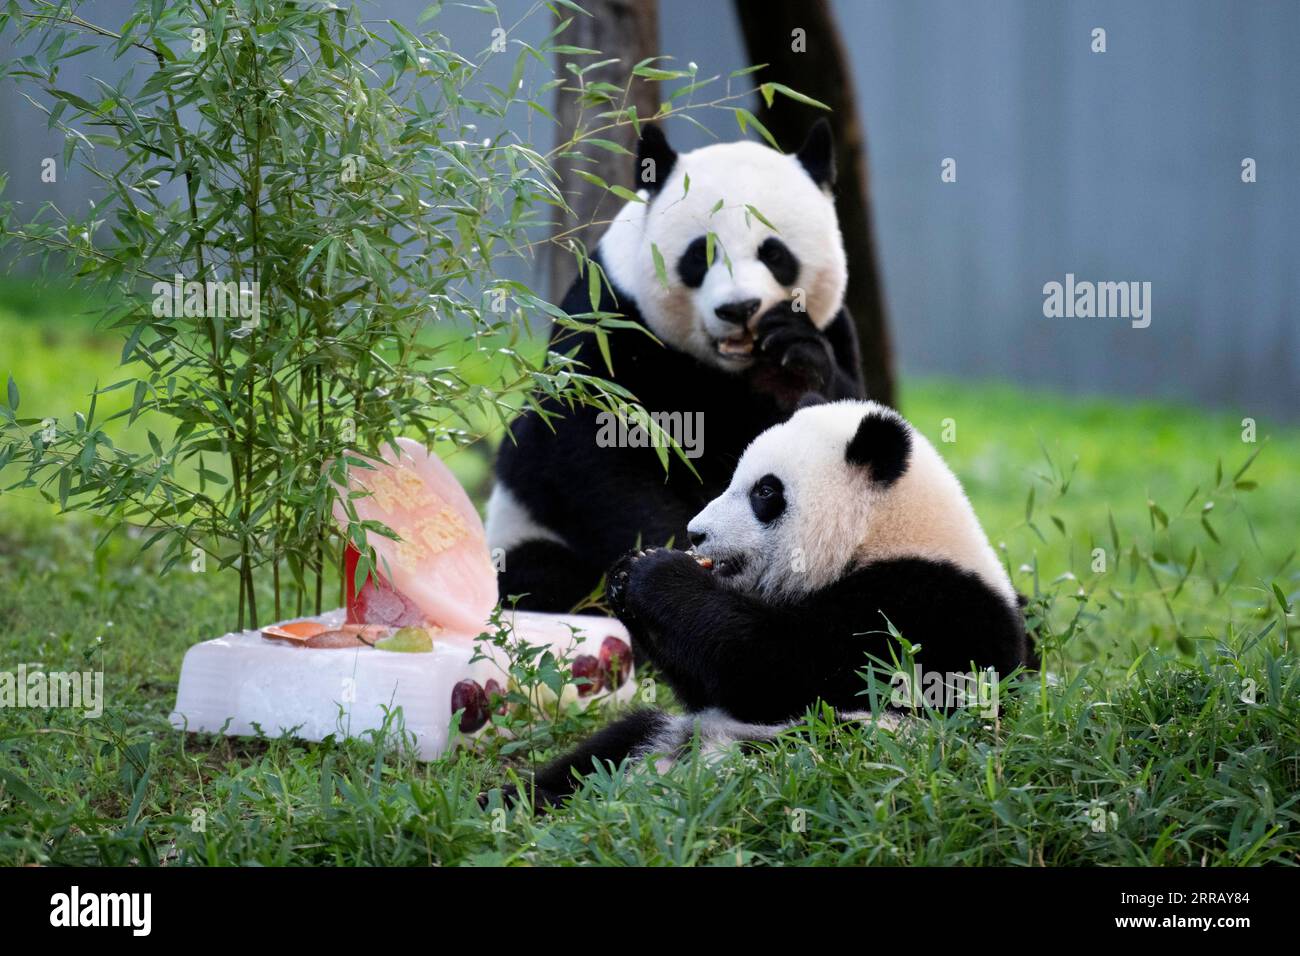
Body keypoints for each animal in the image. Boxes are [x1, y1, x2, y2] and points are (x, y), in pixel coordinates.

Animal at [487, 120, 866, 613]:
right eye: (700, 255)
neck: (727, 368)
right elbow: (587, 447)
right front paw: (670, 554)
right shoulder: (609, 316)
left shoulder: (835, 325)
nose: (739, 309)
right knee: (540, 572)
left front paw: (792, 363)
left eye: (774, 254)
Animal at [490, 400, 1032, 808]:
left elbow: (784, 670)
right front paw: (628, 570)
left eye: (765, 491)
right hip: (666, 732)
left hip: (830, 752)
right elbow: (713, 682)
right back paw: (515, 803)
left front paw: (656, 572)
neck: (883, 534)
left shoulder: (923, 606)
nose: (696, 533)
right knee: (608, 747)